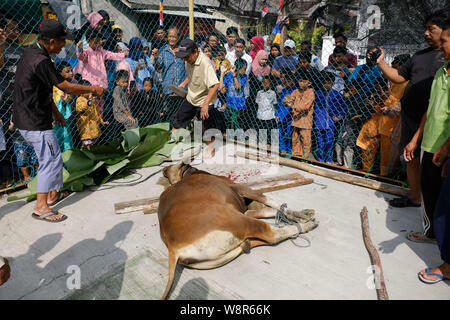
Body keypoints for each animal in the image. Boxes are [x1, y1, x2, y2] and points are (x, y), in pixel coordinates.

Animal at [160, 162, 318, 300]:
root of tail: (174, 249)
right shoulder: (238, 187)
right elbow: (269, 200)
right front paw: (301, 216)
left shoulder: (243, 208)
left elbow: (266, 209)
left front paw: (299, 214)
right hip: (239, 220)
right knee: (271, 235)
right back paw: (304, 226)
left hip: (238, 238)